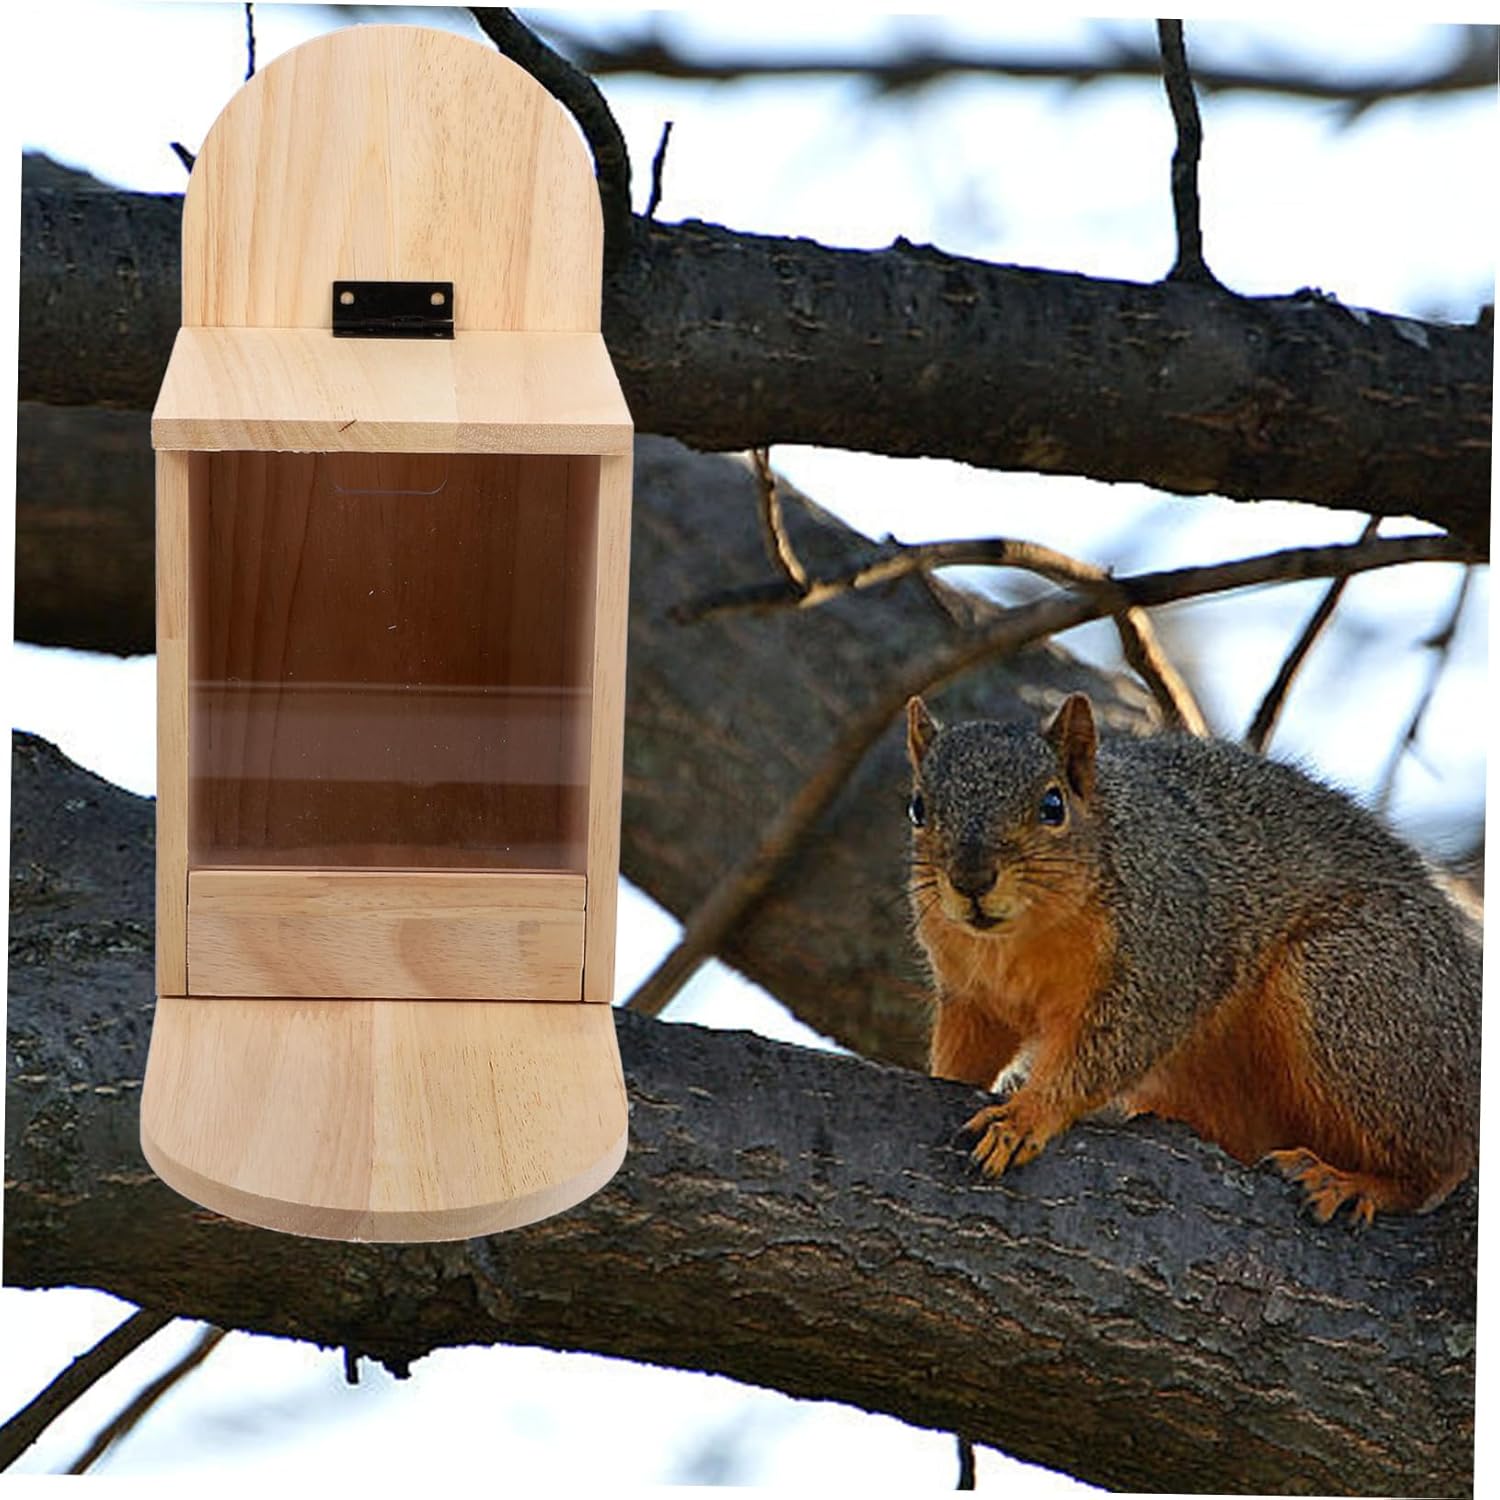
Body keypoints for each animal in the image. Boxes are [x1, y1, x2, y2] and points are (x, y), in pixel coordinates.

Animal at [905, 691, 1480, 1226]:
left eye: (1053, 805)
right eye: (918, 808)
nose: (971, 879)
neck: (1015, 940)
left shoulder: (1162, 958)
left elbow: (1105, 1052)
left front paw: (1024, 1116)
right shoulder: (971, 995)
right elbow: (969, 1047)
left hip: (1354, 993)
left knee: (1435, 1164)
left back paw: (1353, 1183)